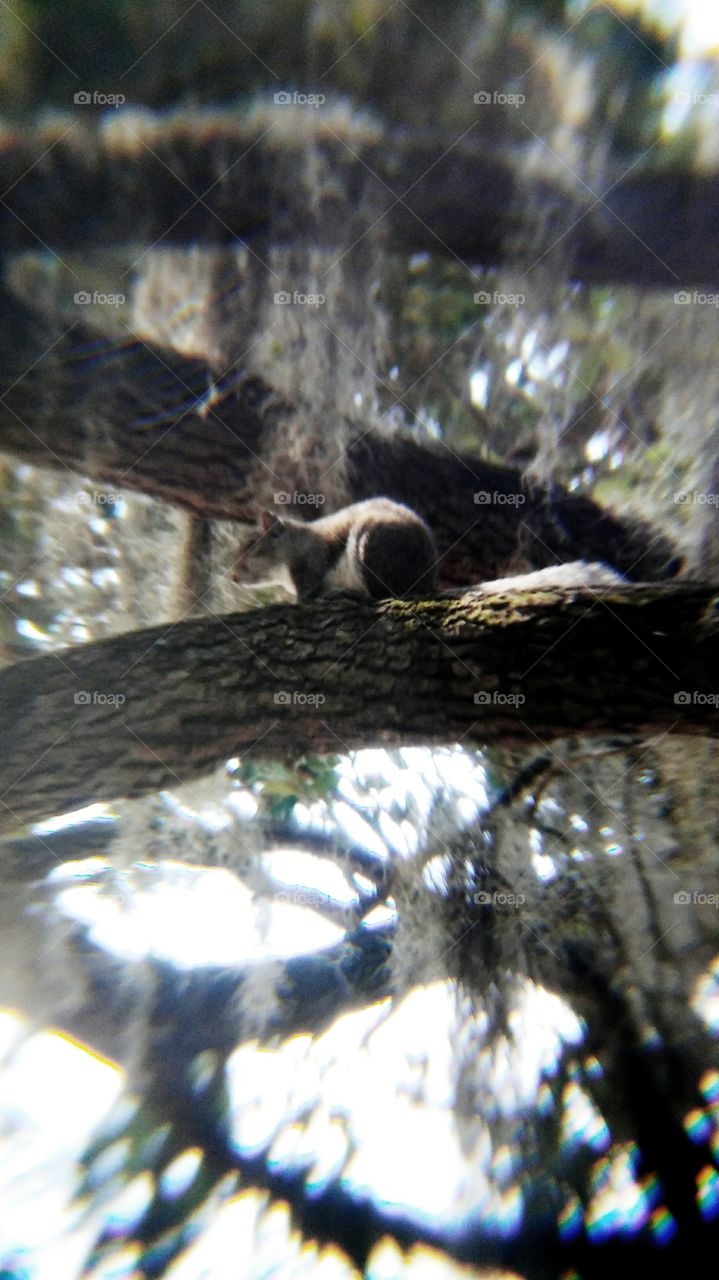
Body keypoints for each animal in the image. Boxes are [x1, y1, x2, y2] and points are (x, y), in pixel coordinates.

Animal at [234, 497, 438, 601]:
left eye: (251, 544)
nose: (233, 578)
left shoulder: (312, 560)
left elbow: (307, 591)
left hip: (368, 541)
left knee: (380, 595)